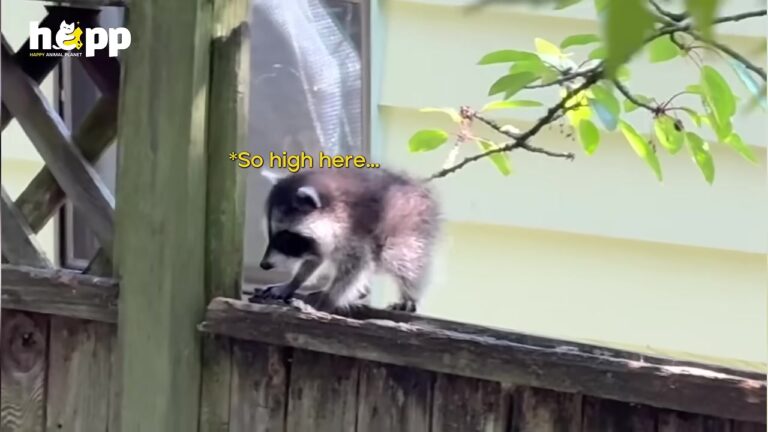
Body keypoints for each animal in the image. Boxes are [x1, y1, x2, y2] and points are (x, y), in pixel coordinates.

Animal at [249, 167, 440, 314]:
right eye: (270, 234)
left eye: (285, 237)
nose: (264, 265)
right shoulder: (318, 243)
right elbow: (314, 260)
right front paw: (293, 282)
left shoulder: (357, 233)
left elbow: (355, 269)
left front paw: (328, 299)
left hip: (409, 230)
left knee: (404, 261)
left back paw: (409, 295)